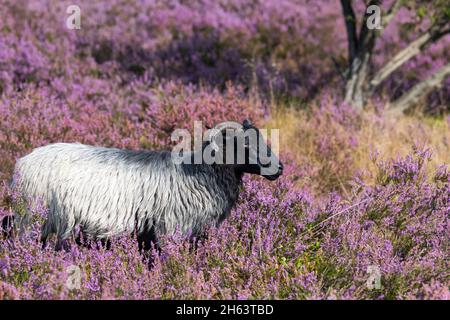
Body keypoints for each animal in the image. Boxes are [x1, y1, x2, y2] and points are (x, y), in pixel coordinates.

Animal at [10, 119, 284, 249]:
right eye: (244, 144)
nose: (279, 168)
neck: (198, 173)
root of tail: (23, 163)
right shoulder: (170, 228)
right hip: (36, 219)